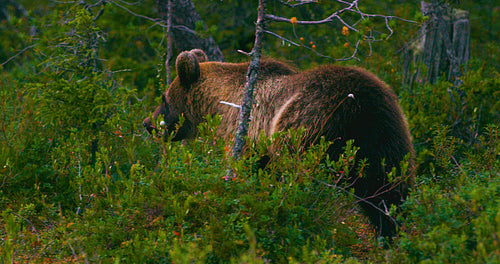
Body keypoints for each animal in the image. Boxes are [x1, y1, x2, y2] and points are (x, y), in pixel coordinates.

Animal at [144, 49, 414, 237]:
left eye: (164, 98)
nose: (148, 123)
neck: (221, 104)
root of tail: (358, 106)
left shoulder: (250, 138)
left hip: (308, 128)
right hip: (386, 138)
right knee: (389, 193)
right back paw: (391, 235)